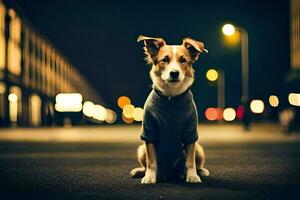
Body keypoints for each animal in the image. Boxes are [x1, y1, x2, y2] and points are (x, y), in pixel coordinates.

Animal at [130, 35, 210, 184]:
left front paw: (192, 175)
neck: (171, 97)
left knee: (195, 163)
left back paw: (199, 171)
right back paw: (142, 172)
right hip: (141, 149)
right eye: (165, 60)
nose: (174, 73)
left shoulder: (190, 134)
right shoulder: (149, 133)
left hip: (199, 149)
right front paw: (150, 176)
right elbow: (151, 162)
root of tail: (170, 174)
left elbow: (190, 161)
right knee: (146, 164)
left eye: (183, 60)